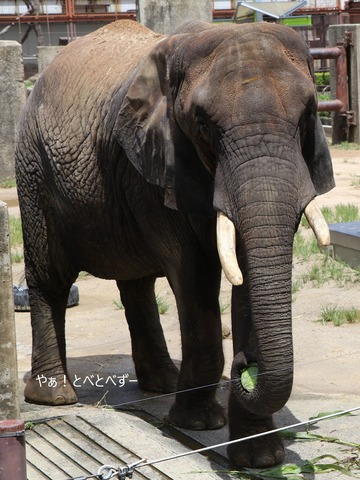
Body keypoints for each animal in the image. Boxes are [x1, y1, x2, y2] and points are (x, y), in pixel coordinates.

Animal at [14, 20, 334, 466]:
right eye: (203, 124)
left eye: (309, 114)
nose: (244, 365)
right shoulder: (156, 166)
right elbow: (194, 273)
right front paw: (199, 425)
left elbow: (245, 276)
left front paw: (260, 459)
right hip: (32, 169)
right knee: (51, 279)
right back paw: (55, 397)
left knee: (136, 285)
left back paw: (162, 384)